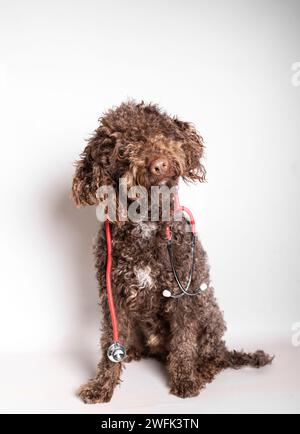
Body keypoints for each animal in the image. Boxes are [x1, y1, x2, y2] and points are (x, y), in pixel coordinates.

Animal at [71, 99, 274, 404]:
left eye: (159, 132)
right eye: (122, 150)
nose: (159, 164)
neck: (146, 221)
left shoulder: (183, 297)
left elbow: (183, 342)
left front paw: (185, 380)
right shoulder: (113, 296)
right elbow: (109, 343)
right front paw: (102, 385)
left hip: (208, 313)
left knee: (213, 357)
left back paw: (202, 370)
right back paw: (134, 351)